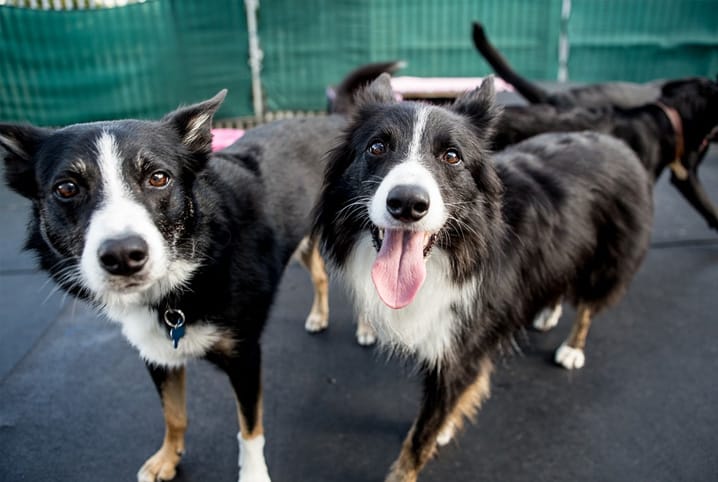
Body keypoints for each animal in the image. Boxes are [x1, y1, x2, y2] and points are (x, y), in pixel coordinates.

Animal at [0, 58, 400, 480]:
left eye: (158, 178)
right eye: (66, 188)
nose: (124, 255)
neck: (188, 272)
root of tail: (337, 119)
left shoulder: (245, 356)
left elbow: (249, 428)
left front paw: (253, 474)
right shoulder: (157, 354)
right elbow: (174, 415)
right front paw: (167, 458)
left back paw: (367, 327)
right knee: (321, 275)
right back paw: (319, 317)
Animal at [312, 73, 656, 480]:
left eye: (452, 156)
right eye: (377, 147)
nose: (407, 204)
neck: (455, 252)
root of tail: (612, 140)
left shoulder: (463, 346)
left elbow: (420, 435)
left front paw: (412, 462)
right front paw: (446, 425)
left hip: (609, 256)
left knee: (589, 303)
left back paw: (573, 347)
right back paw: (548, 312)